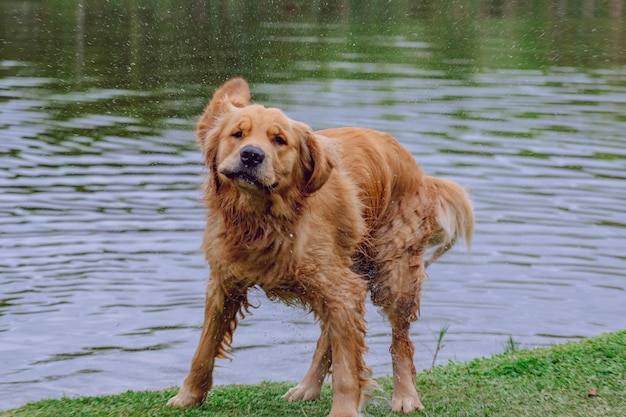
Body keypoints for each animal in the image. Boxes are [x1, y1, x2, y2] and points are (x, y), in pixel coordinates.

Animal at [168, 79, 470, 416]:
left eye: (279, 140)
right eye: (238, 134)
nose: (251, 155)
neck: (263, 219)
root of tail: (419, 171)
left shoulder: (342, 287)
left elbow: (348, 368)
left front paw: (344, 410)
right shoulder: (224, 283)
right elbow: (204, 348)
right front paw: (188, 396)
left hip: (393, 274)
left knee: (400, 339)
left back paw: (406, 396)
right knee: (329, 337)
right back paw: (307, 387)